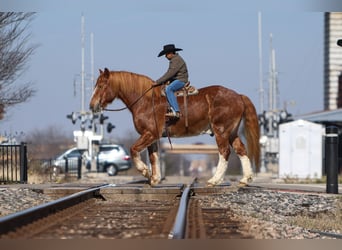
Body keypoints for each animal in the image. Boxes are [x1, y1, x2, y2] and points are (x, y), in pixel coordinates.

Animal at [89, 68, 260, 186]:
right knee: (241, 150)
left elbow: (134, 150)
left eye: (102, 85)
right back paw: (245, 179)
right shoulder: (152, 137)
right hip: (232, 132)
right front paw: (155, 179)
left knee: (224, 152)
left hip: (221, 131)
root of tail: (238, 96)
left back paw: (214, 180)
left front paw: (145, 171)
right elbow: (154, 156)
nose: (92, 105)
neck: (145, 101)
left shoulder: (149, 134)